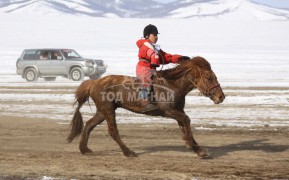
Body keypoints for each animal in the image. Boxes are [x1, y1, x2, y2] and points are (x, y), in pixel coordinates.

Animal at [66, 56, 224, 158]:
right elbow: (186, 120)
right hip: (108, 110)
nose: (221, 97)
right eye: (209, 77)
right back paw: (128, 152)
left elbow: (184, 125)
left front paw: (197, 148)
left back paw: (84, 149)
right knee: (113, 131)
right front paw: (196, 148)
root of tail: (94, 83)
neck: (172, 84)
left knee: (89, 125)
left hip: (102, 111)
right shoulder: (169, 111)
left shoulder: (178, 111)